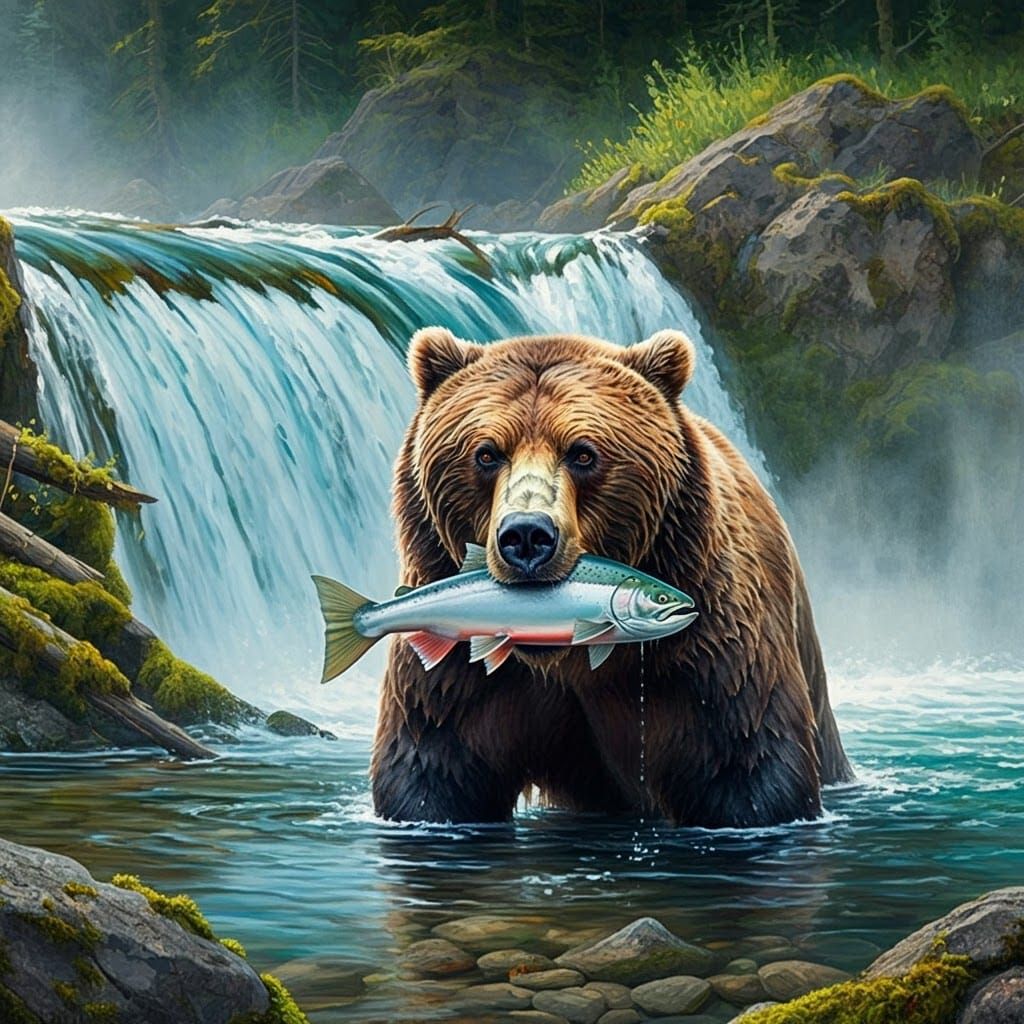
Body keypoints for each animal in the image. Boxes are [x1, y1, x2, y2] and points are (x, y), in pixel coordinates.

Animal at [371, 327, 852, 828]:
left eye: (583, 453)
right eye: (486, 453)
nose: (526, 535)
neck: (562, 659)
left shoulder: (708, 656)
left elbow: (747, 766)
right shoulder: (455, 676)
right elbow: (433, 766)